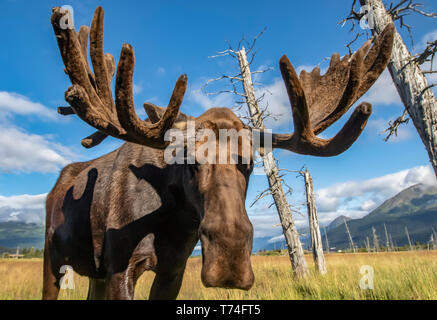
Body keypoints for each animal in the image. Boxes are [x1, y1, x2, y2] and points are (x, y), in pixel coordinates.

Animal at [44, 5, 396, 300]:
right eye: (188, 162)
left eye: (250, 164)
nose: (230, 258)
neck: (171, 221)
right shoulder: (120, 267)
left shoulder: (173, 270)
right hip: (54, 260)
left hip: (96, 274)